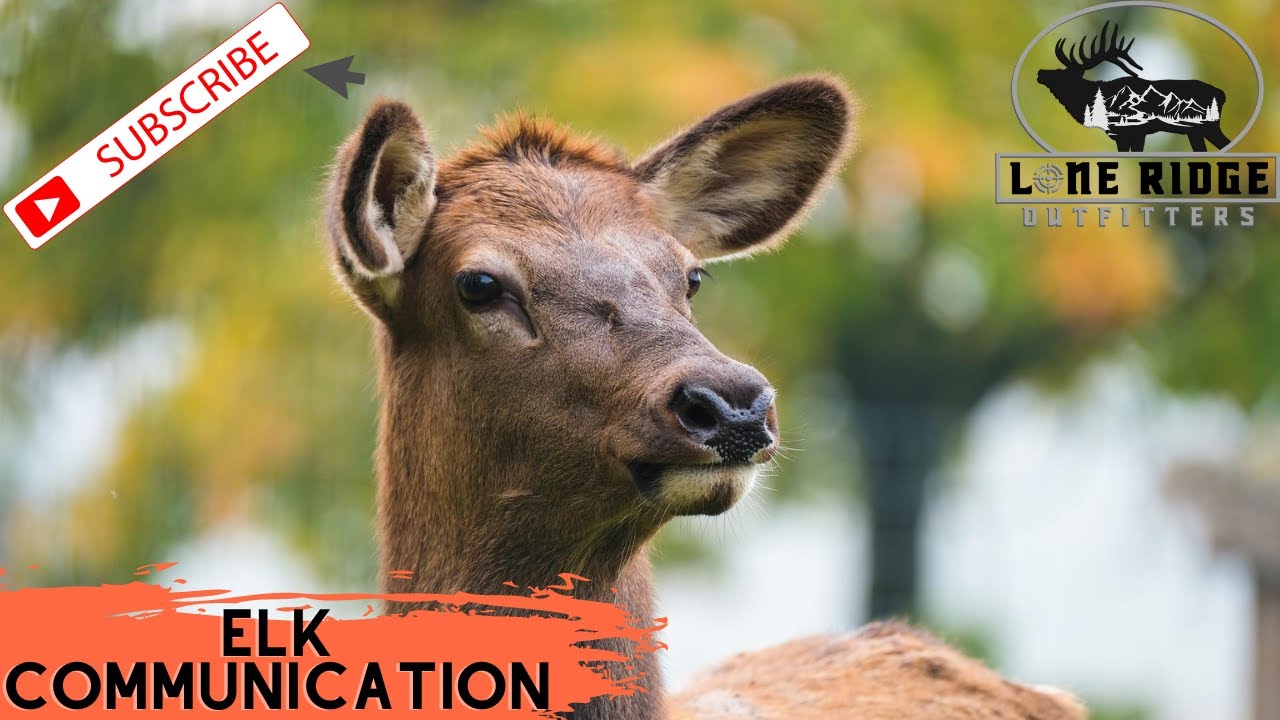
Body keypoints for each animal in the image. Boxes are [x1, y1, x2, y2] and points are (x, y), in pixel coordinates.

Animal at [1038, 21, 1230, 152]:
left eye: (1063, 74)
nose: (1040, 72)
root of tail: (1222, 94)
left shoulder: (1136, 132)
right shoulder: (1120, 136)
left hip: (1208, 127)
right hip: (1195, 133)